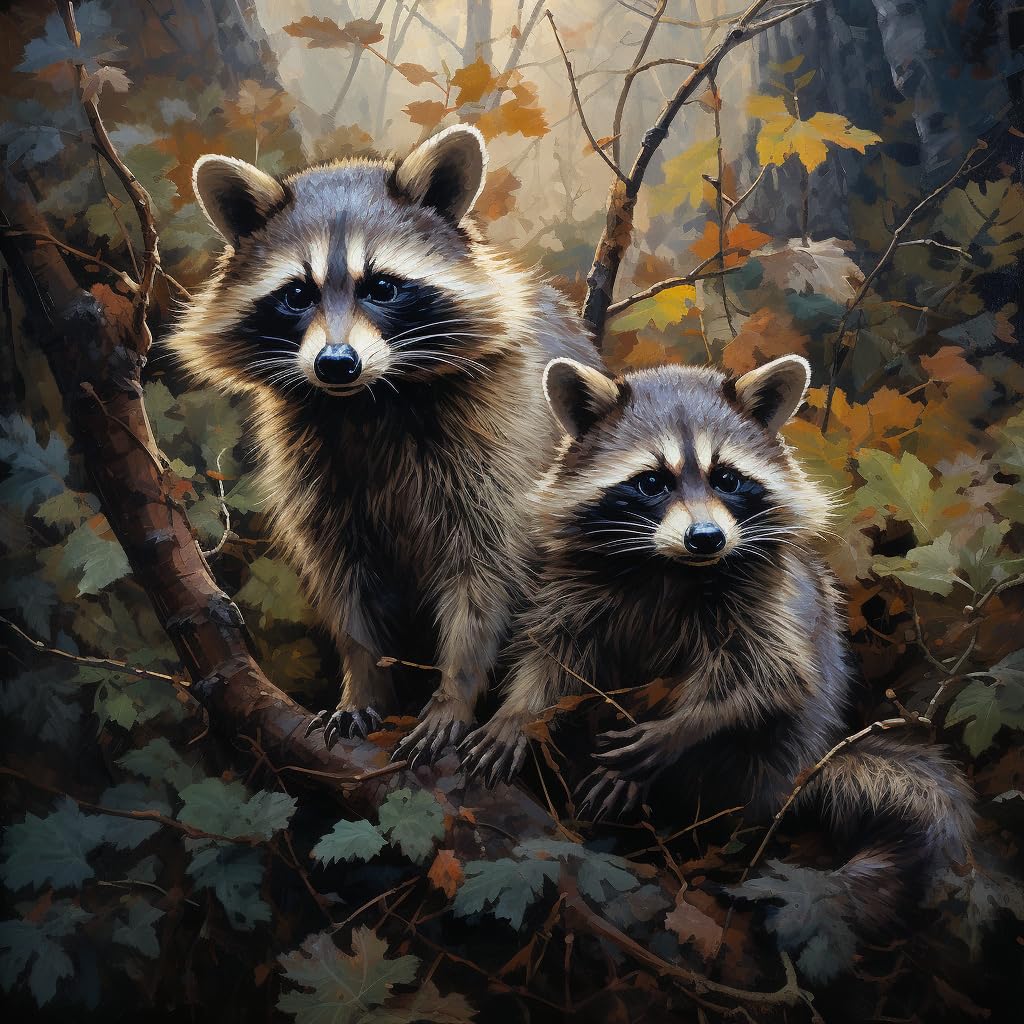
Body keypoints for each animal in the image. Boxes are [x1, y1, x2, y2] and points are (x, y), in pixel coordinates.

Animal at [166, 126, 600, 766]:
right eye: (297, 294)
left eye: (383, 287)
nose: (335, 363)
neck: (367, 400)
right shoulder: (315, 470)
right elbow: (345, 583)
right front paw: (362, 680)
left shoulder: (502, 440)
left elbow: (487, 573)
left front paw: (456, 690)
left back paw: (525, 710)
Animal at [461, 355, 974, 931]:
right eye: (651, 482)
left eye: (727, 478)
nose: (706, 538)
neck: (669, 568)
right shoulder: (577, 589)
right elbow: (553, 657)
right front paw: (518, 711)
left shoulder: (769, 603)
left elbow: (772, 681)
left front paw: (681, 727)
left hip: (766, 766)